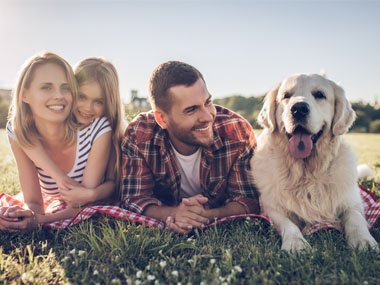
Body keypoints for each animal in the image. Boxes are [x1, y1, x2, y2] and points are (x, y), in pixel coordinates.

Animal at [251, 74, 378, 251]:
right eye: (286, 96)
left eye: (319, 94)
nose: (298, 109)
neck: (307, 172)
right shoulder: (270, 206)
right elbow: (288, 223)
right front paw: (295, 242)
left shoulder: (352, 201)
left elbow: (356, 218)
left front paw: (363, 240)